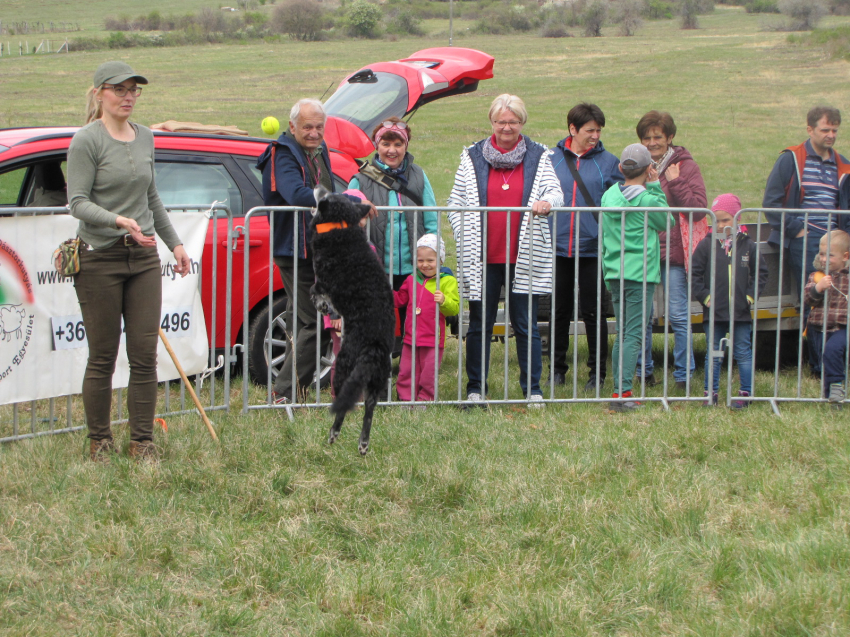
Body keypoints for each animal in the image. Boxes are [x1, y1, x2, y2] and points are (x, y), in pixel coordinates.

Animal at [308, 186, 394, 454]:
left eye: (324, 196)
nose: (319, 186)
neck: (340, 226)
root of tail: (374, 346)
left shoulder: (323, 279)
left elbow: (314, 290)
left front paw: (322, 305)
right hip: (376, 380)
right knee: (369, 410)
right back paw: (363, 443)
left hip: (343, 367)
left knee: (343, 406)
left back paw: (334, 432)